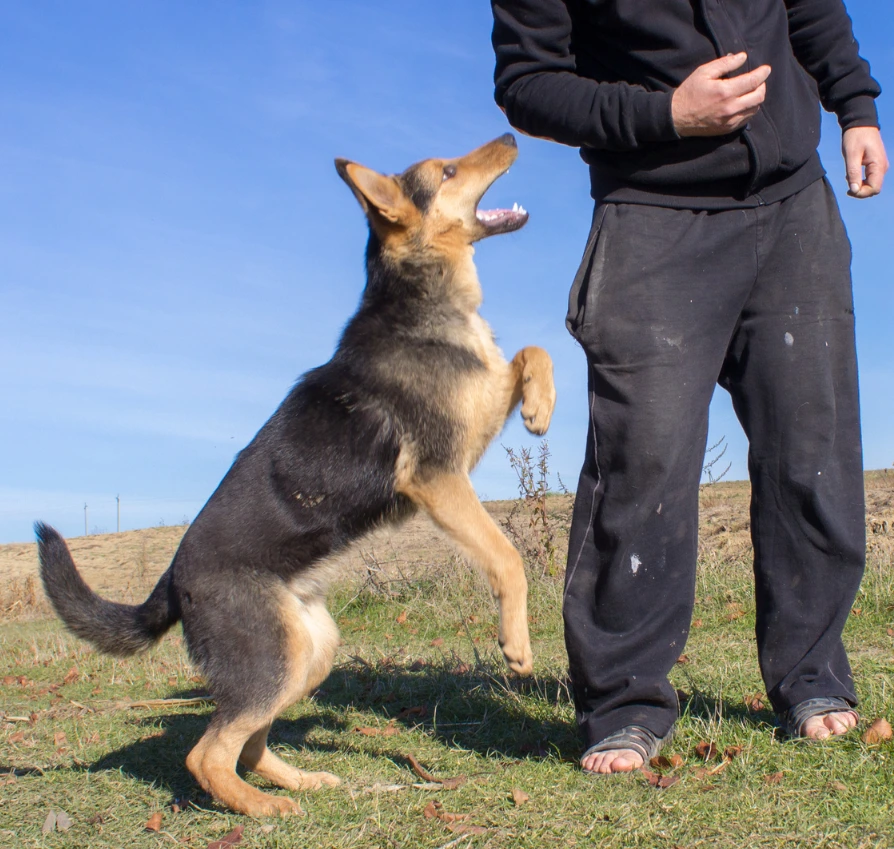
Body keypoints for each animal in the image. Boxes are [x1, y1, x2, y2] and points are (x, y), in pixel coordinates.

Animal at [38, 136, 556, 820]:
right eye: (448, 171)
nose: (513, 136)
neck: (417, 296)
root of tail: (172, 583)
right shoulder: (439, 475)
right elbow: (506, 556)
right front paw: (515, 644)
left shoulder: (473, 420)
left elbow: (529, 352)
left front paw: (541, 406)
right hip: (272, 660)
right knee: (206, 754)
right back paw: (262, 809)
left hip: (306, 655)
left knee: (248, 742)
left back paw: (298, 783)